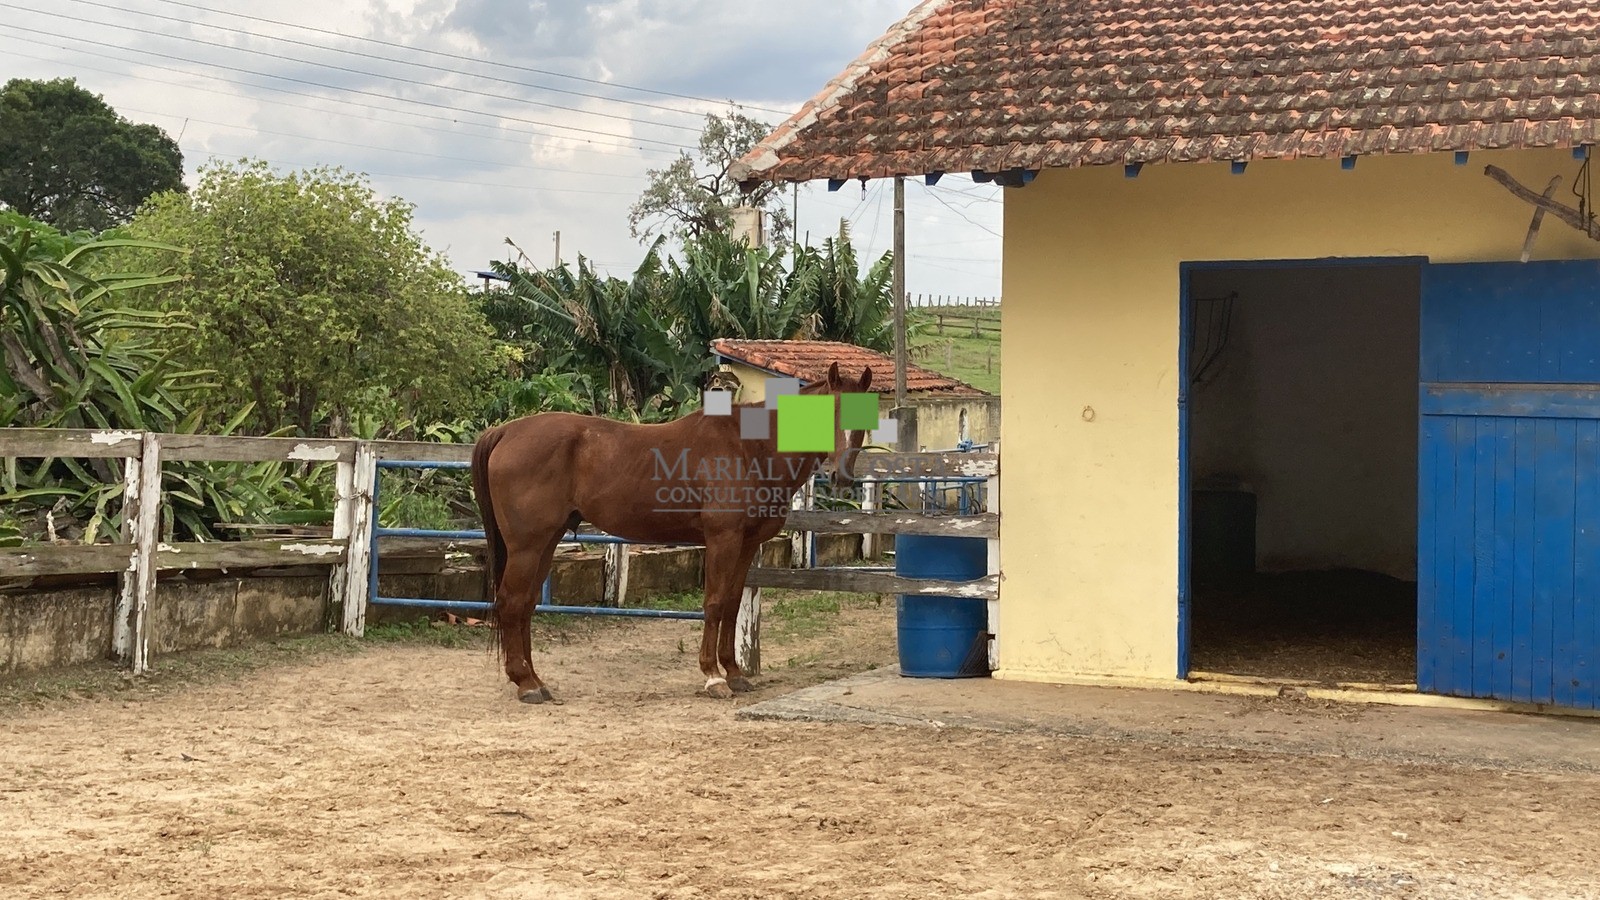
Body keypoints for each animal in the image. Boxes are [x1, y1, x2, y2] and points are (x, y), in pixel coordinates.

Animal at [470, 360, 876, 698]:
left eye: (866, 418)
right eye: (831, 411)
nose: (841, 476)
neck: (750, 448)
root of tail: (505, 432)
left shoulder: (746, 544)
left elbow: (731, 605)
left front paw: (734, 674)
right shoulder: (722, 540)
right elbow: (714, 603)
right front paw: (713, 677)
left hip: (547, 541)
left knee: (525, 604)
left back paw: (535, 680)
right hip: (527, 545)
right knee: (511, 602)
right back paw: (526, 684)